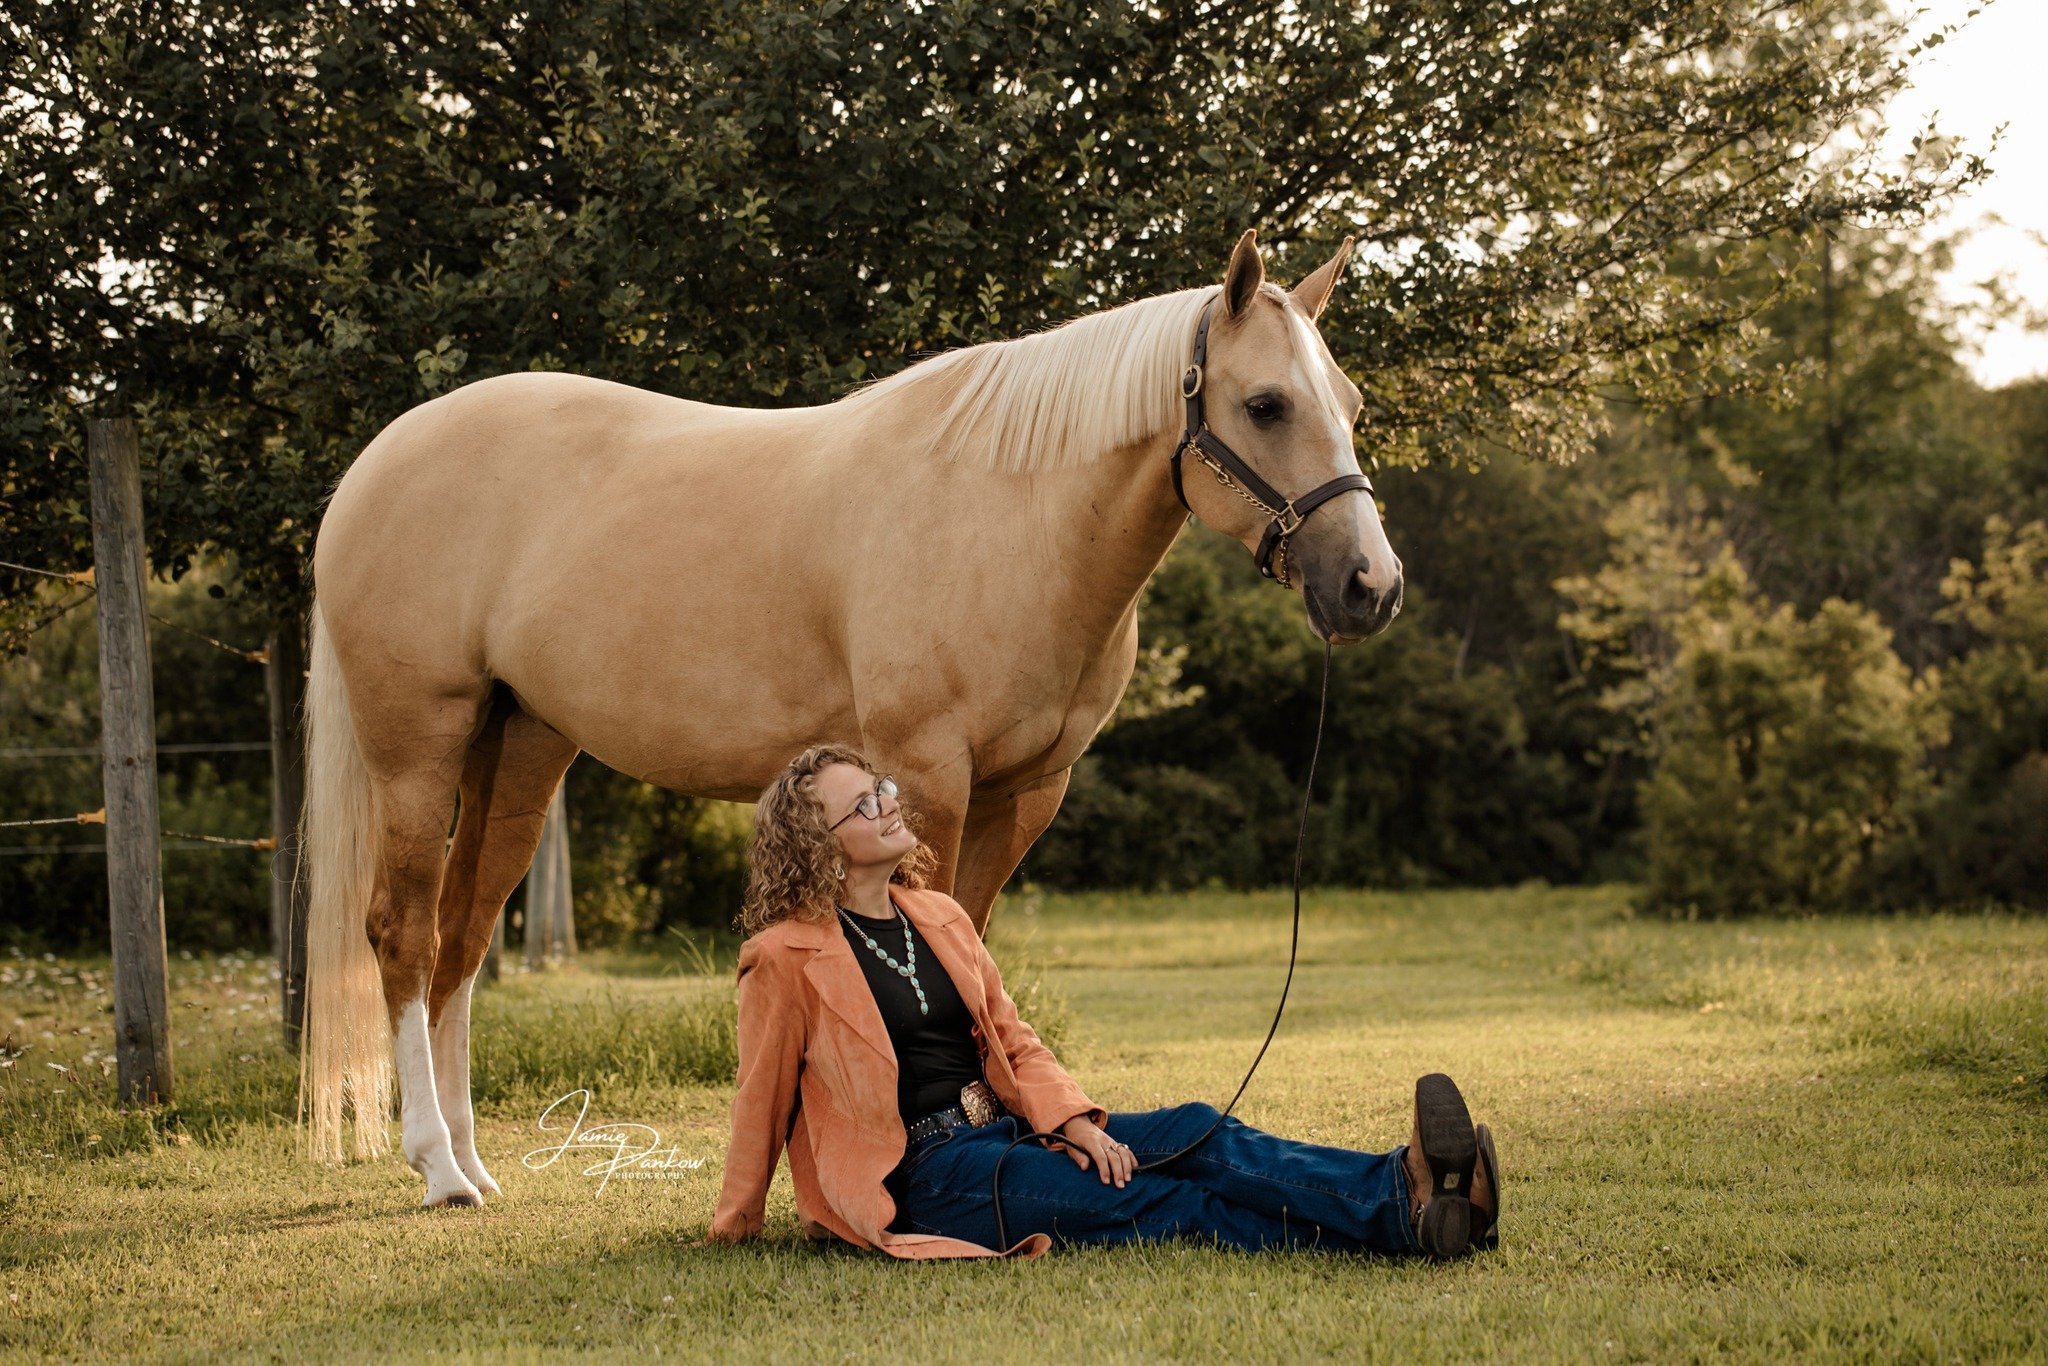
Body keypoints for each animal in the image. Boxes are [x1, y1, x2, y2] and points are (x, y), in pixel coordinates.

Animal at [297, 228, 1404, 1207]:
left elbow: (971, 950)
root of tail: (376, 463)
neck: (1010, 514)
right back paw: (437, 1169)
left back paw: (473, 1162)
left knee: (462, 939)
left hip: (520, 746)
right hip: (418, 746)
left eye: (1348, 403)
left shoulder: (1025, 792)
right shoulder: (928, 776)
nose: (1370, 587)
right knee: (402, 936)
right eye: (1264, 404)